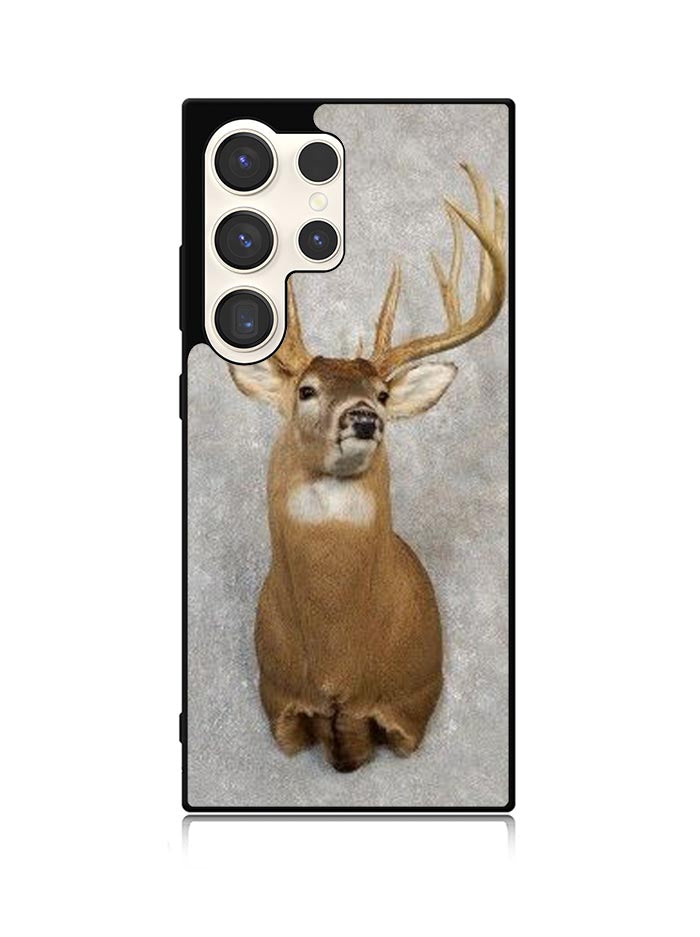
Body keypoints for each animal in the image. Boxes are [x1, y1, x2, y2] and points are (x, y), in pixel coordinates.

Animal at [229, 162, 506, 772]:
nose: (363, 418)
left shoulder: (411, 700)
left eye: (381, 394)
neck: (338, 668)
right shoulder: (277, 696)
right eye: (306, 390)